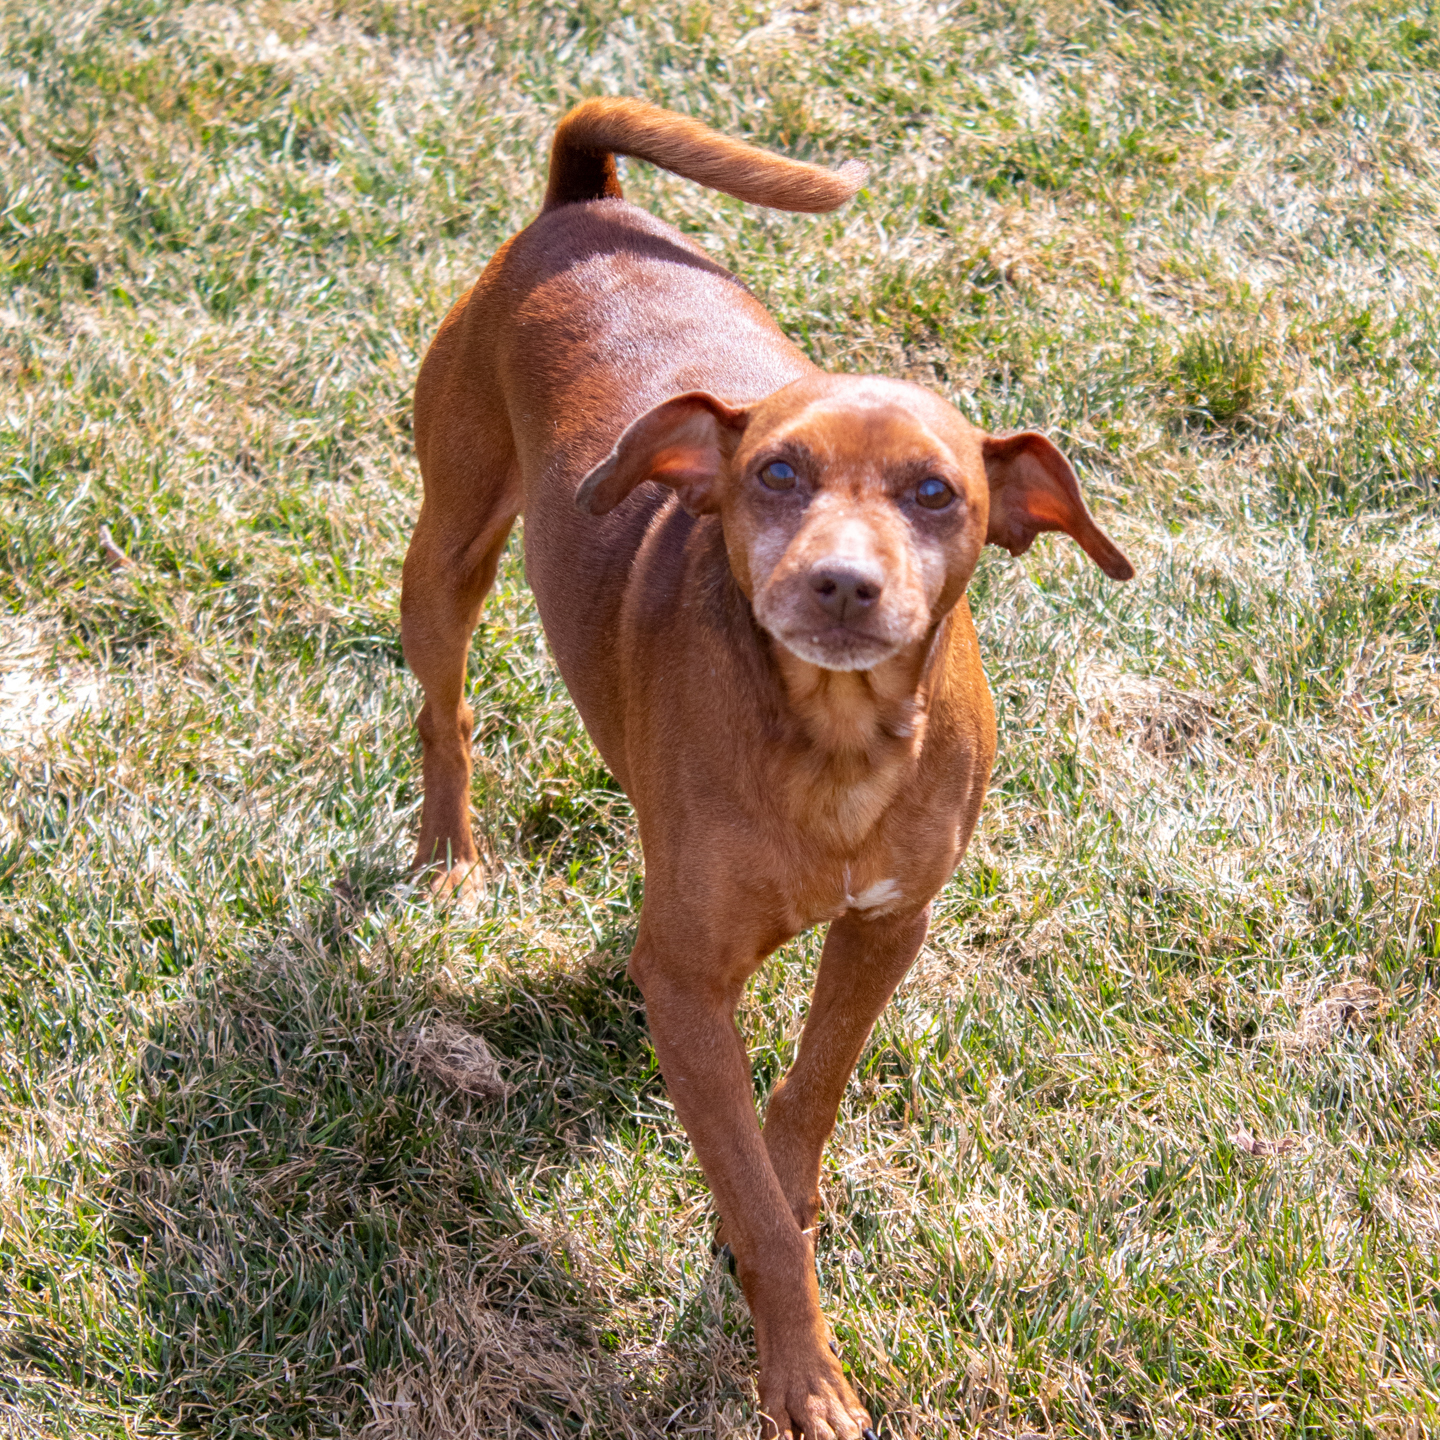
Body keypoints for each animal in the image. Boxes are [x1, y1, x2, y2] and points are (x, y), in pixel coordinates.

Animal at [400, 101, 1128, 1440]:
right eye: (776, 474)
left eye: (937, 491)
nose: (841, 583)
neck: (834, 746)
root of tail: (585, 202)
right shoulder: (684, 989)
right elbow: (745, 1177)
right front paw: (804, 1373)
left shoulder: (888, 926)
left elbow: (804, 1098)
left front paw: (780, 1207)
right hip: (450, 546)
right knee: (446, 709)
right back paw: (450, 856)